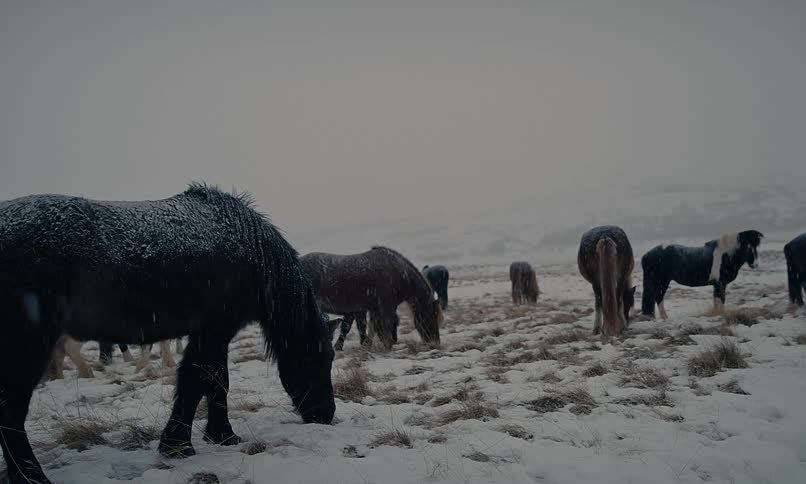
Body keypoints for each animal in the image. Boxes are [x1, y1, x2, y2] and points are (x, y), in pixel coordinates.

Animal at [0, 184, 339, 483]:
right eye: (318, 359)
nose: (326, 414)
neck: (251, 251)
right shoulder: (215, 330)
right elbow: (205, 379)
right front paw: (189, 443)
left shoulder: (207, 333)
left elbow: (208, 381)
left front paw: (207, 438)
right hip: (28, 346)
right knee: (11, 412)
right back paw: (33, 478)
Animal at [300, 247, 442, 351]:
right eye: (433, 315)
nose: (435, 342)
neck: (399, 272)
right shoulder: (385, 307)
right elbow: (384, 325)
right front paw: (387, 345)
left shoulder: (368, 309)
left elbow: (368, 327)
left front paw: (366, 345)